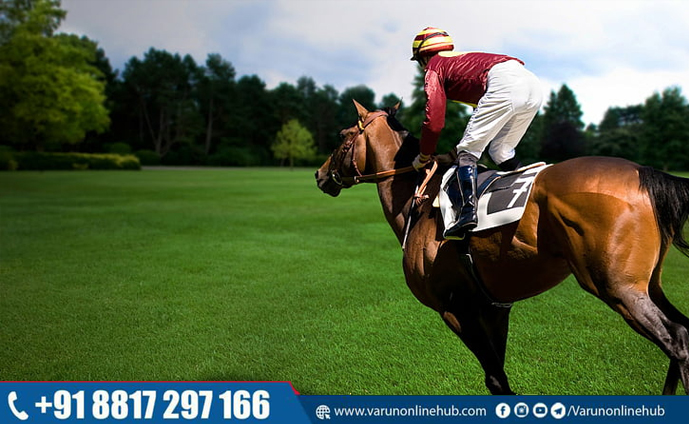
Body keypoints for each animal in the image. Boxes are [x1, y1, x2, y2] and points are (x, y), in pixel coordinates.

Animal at [315, 100, 689, 395]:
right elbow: (499, 374)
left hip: (619, 288)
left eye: (343, 136)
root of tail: (647, 173)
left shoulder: (456, 308)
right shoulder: (495, 307)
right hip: (647, 285)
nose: (319, 174)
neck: (418, 201)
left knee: (678, 338)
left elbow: (494, 378)